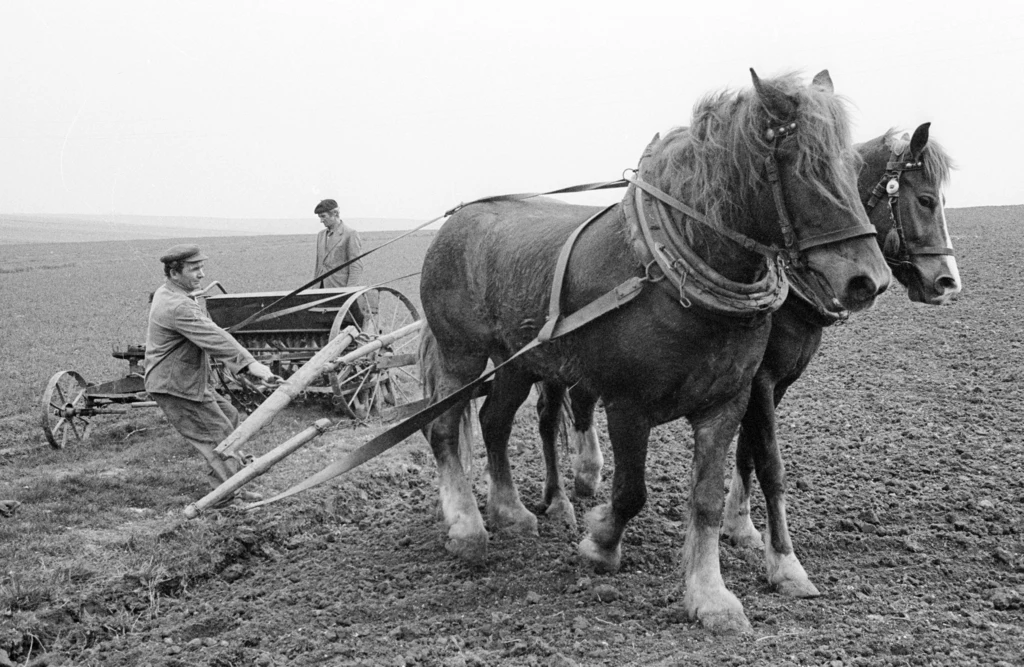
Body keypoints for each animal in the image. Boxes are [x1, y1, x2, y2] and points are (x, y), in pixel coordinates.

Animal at [417, 70, 888, 635]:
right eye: (802, 163)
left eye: (855, 167)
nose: (870, 280)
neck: (667, 273)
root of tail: (454, 221)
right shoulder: (628, 405)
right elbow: (630, 491)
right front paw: (599, 542)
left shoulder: (727, 402)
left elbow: (706, 500)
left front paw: (711, 597)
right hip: (460, 353)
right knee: (444, 428)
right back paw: (467, 528)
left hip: (518, 360)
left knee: (494, 421)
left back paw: (512, 513)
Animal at [540, 122, 962, 602]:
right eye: (925, 199)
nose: (947, 282)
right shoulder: (760, 380)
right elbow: (770, 464)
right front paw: (779, 557)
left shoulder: (768, 385)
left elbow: (745, 452)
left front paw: (738, 526)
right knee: (551, 412)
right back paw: (561, 497)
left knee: (582, 398)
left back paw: (587, 475)